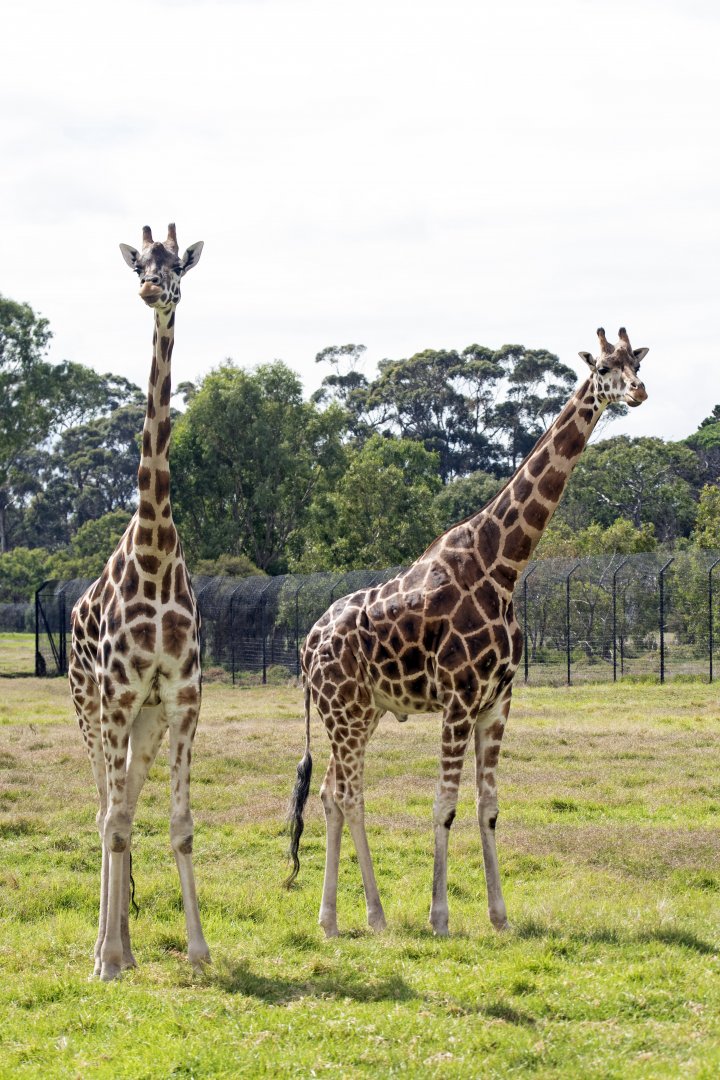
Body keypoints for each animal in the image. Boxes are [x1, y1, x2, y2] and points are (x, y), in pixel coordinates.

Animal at [286, 327, 649, 937]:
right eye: (603, 367)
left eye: (637, 363)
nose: (639, 392)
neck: (503, 565)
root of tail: (306, 646)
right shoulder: (457, 698)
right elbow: (444, 805)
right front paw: (439, 916)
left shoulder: (497, 701)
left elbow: (488, 807)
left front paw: (499, 915)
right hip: (344, 712)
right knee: (348, 794)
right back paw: (353, 917)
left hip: (363, 712)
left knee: (333, 791)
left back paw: (353, 917)